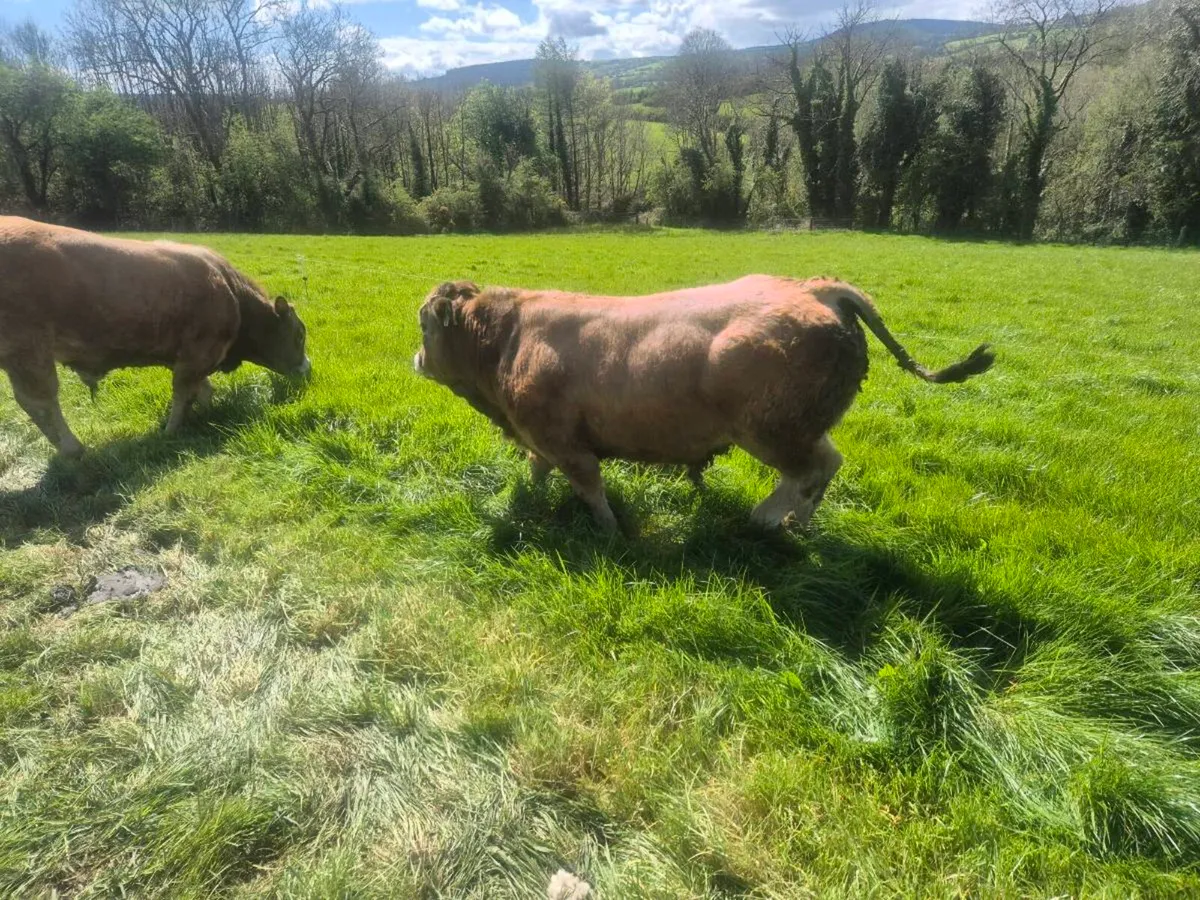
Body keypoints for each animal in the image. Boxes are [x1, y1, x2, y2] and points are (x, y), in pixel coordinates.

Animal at [0, 216, 311, 457]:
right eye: (299, 335)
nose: (307, 369)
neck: (232, 293)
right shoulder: (197, 354)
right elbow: (184, 391)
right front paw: (171, 431)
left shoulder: (189, 357)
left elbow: (202, 389)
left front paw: (206, 413)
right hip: (28, 350)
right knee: (40, 400)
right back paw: (73, 450)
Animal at [413, 275, 994, 532]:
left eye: (422, 323)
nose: (416, 357)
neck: (507, 339)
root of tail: (816, 289)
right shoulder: (541, 437)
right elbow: (537, 469)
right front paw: (529, 497)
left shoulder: (566, 442)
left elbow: (590, 489)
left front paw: (610, 530)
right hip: (802, 424)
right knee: (824, 466)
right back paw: (794, 521)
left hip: (773, 431)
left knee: (814, 468)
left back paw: (768, 518)